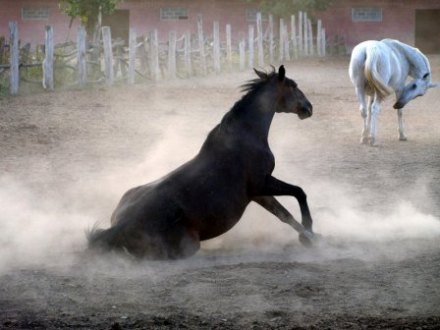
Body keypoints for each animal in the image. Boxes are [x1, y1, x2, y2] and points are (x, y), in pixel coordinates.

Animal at [89, 65, 316, 260]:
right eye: (293, 86)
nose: (309, 108)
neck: (246, 136)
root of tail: (118, 226)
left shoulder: (259, 193)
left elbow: (284, 215)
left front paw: (310, 238)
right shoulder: (262, 183)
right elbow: (299, 192)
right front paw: (310, 232)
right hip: (189, 244)